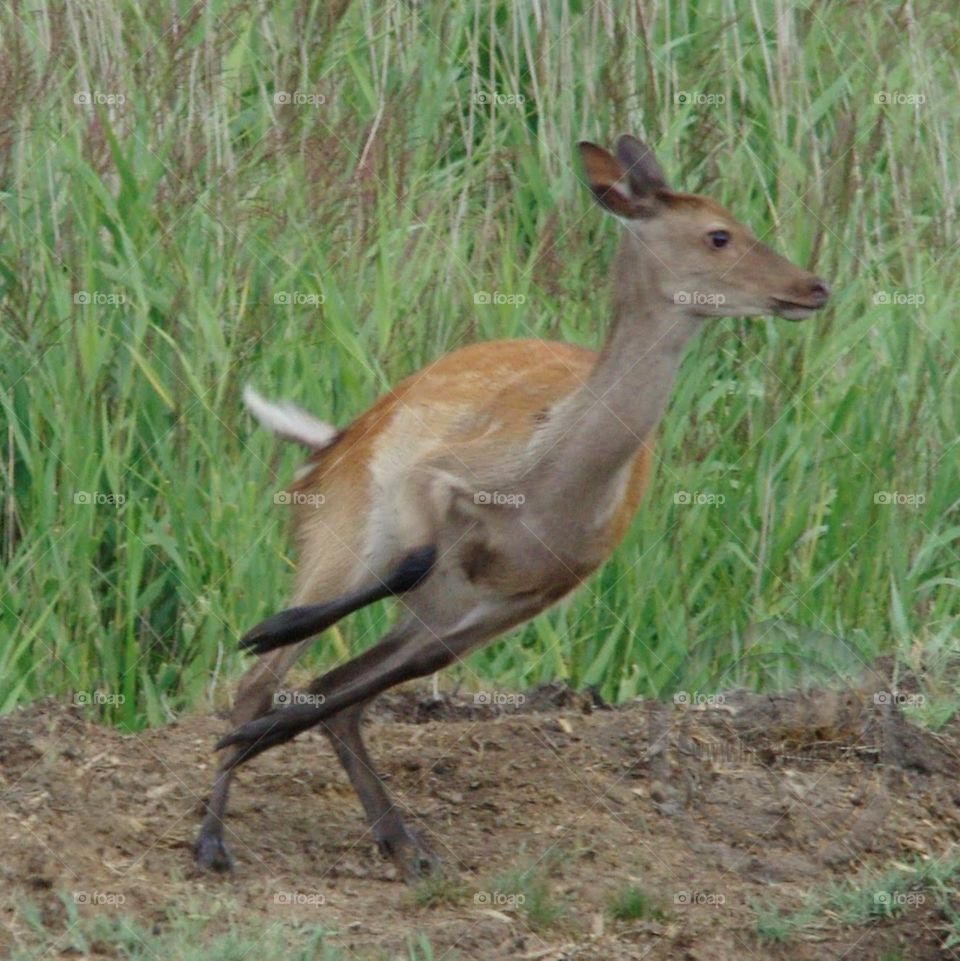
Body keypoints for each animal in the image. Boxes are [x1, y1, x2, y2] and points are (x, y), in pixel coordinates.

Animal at [193, 135, 829, 880]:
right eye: (719, 234)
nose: (814, 286)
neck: (554, 481)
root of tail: (328, 443)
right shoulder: (437, 475)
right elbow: (410, 561)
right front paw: (265, 632)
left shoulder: (525, 596)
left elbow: (382, 675)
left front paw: (261, 735)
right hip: (339, 532)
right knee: (261, 678)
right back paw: (214, 836)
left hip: (429, 604)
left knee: (339, 694)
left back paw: (403, 843)